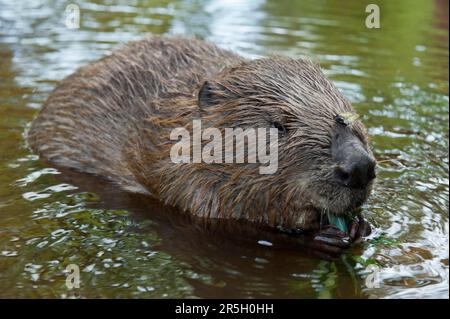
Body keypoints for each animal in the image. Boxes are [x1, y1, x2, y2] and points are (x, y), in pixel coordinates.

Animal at [26, 36, 374, 258]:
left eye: (349, 117)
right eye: (278, 125)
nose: (359, 168)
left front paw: (361, 226)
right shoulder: (185, 182)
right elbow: (227, 227)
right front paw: (321, 236)